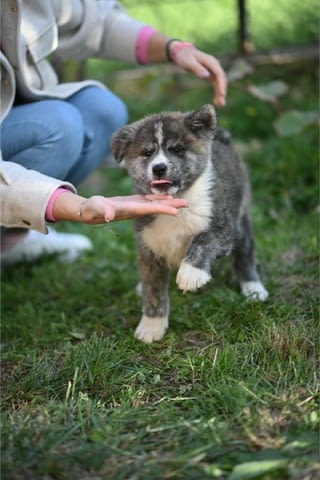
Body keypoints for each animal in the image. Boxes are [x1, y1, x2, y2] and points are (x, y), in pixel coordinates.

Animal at [111, 106, 268, 344]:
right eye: (147, 153)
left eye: (177, 150)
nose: (159, 168)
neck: (177, 202)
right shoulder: (148, 246)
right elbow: (153, 291)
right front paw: (151, 326)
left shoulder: (222, 228)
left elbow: (202, 240)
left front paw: (191, 274)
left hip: (241, 221)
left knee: (245, 254)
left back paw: (253, 288)